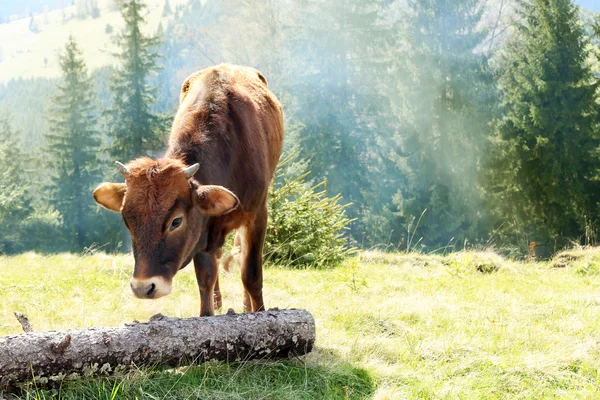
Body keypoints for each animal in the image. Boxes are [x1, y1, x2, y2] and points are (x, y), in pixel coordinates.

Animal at [93, 65, 284, 316]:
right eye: (127, 220)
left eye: (176, 221)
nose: (144, 287)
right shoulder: (203, 233)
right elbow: (206, 278)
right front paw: (208, 313)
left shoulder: (257, 215)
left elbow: (251, 275)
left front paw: (259, 312)